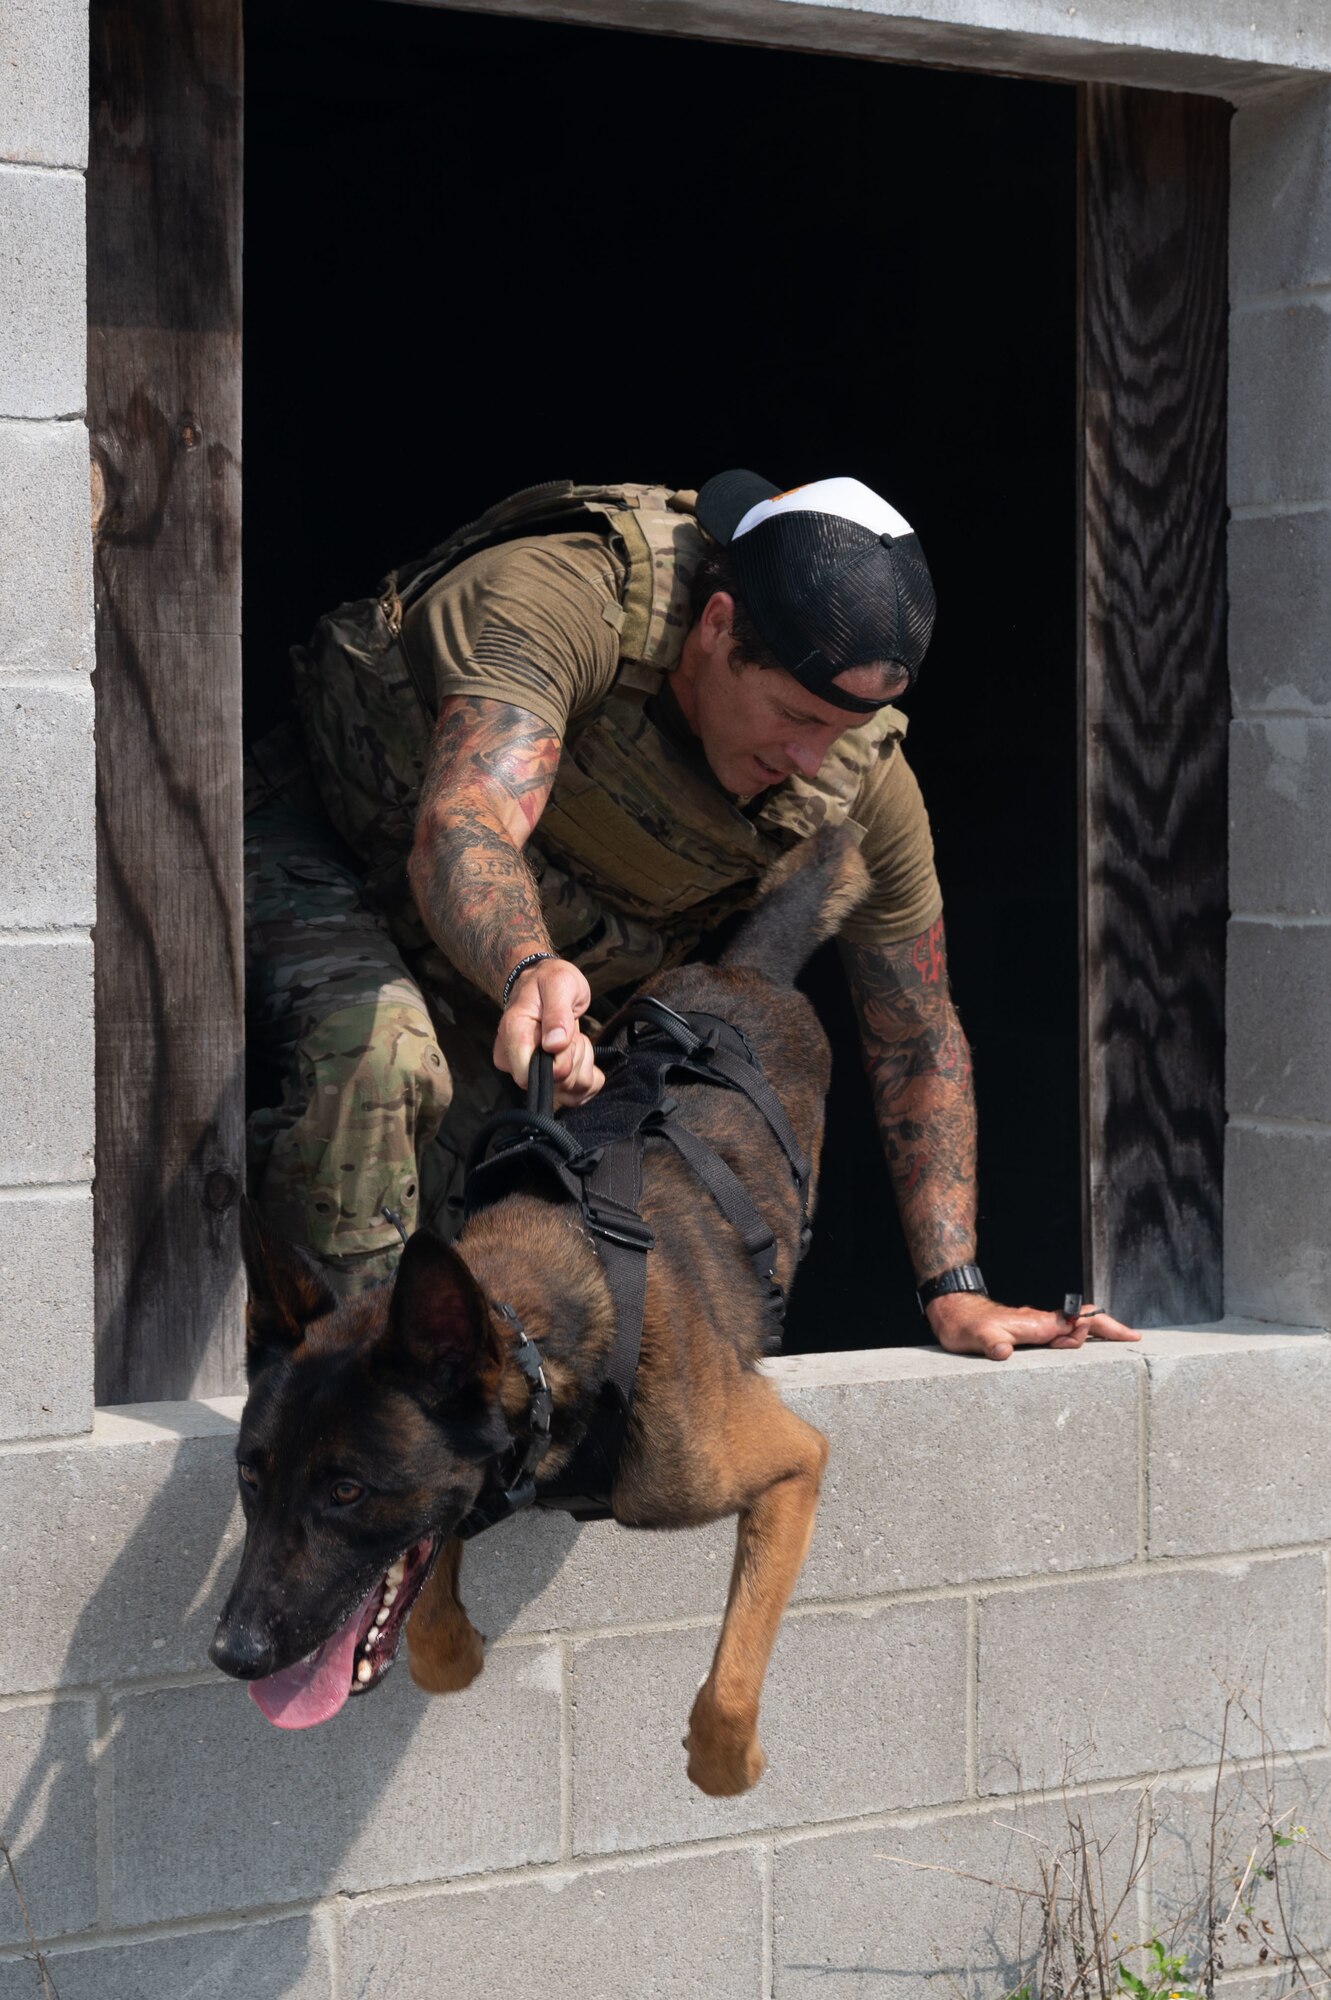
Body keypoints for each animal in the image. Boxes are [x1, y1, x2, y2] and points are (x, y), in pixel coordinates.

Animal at [212, 828, 867, 1800]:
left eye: (347, 1491)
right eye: (249, 1479)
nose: (233, 1653)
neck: (538, 1344)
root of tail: (741, 971)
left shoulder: (790, 1464)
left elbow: (728, 1680)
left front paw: (728, 1760)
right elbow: (434, 1632)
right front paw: (456, 1643)